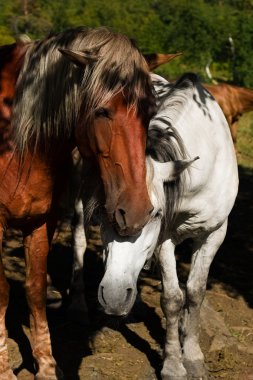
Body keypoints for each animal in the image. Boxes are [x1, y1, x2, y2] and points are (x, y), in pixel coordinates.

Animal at [0, 27, 156, 380]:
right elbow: (1, 293)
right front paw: (3, 369)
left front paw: (45, 365)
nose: (136, 211)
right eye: (101, 111)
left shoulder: (41, 222)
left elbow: (34, 290)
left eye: (150, 112)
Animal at [90, 72, 238, 378]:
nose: (113, 296)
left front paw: (192, 356)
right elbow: (172, 298)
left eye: (155, 213)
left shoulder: (214, 233)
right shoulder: (165, 240)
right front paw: (173, 364)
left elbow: (195, 292)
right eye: (100, 214)